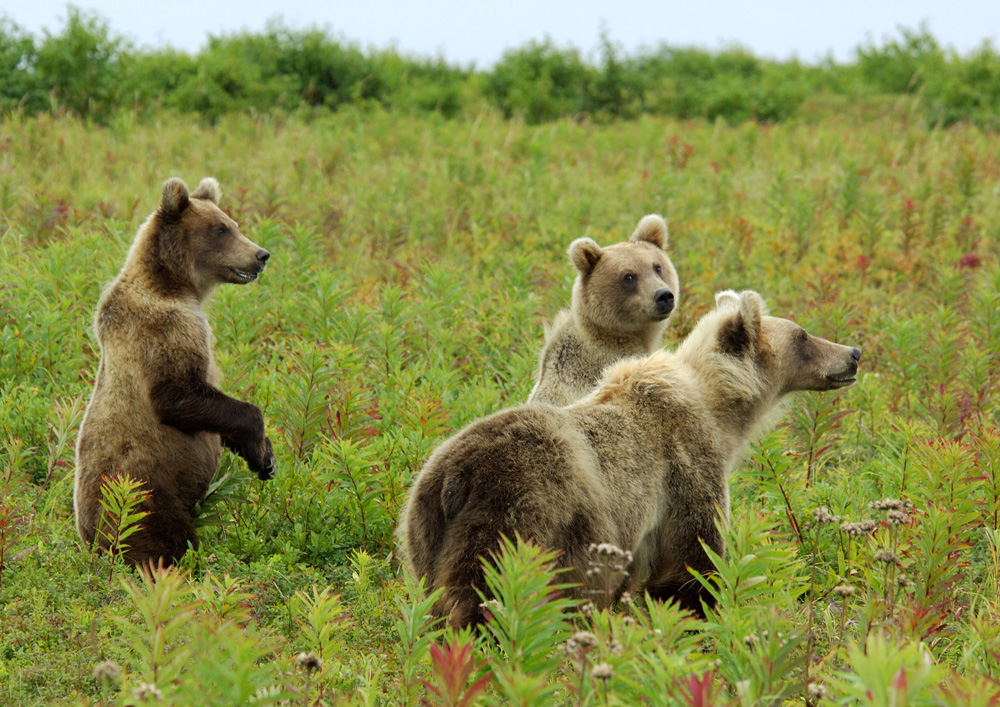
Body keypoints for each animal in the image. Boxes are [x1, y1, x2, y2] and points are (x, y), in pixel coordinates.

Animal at [73, 178, 278, 568]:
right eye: (221, 230)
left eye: (233, 224)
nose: (261, 255)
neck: (176, 287)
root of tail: (92, 543)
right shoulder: (163, 330)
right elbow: (178, 395)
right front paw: (260, 443)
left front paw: (263, 457)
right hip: (143, 492)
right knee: (164, 538)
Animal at [402, 290, 864, 628]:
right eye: (803, 336)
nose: (853, 353)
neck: (721, 415)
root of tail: (455, 477)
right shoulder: (685, 471)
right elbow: (691, 563)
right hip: (520, 510)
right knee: (487, 591)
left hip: (423, 528)